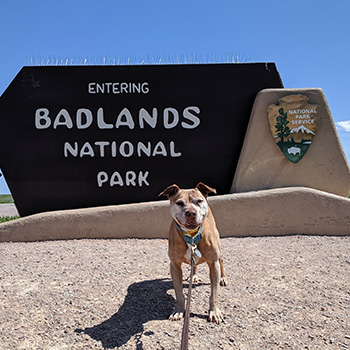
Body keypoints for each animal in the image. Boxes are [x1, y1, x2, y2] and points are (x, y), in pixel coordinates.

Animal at [161, 182, 228, 324]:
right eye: (179, 203)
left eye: (199, 201)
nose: (191, 213)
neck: (191, 236)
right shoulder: (174, 265)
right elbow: (179, 293)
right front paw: (179, 310)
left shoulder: (213, 264)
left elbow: (214, 293)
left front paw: (214, 312)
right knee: (195, 264)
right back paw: (195, 276)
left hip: (219, 251)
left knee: (221, 261)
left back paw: (223, 278)